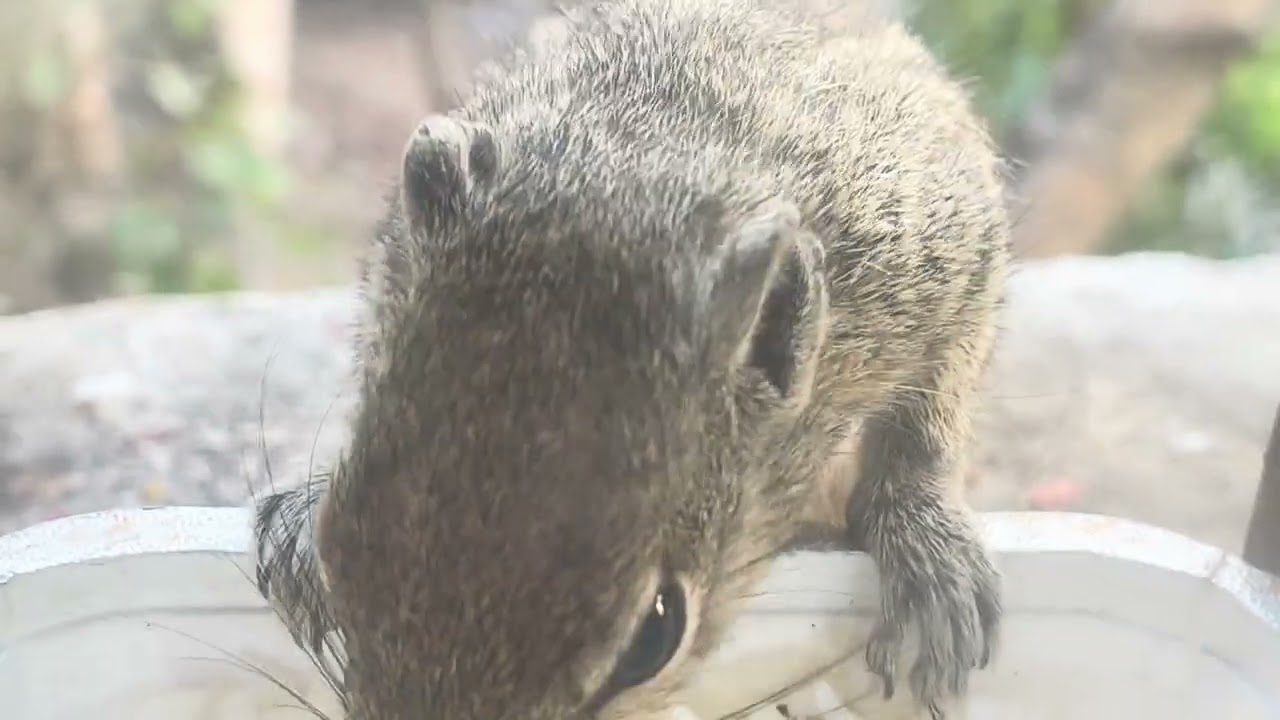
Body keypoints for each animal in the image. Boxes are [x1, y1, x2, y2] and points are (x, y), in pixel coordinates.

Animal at [254, 0, 1010, 717]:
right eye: (340, 544)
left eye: (656, 637)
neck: (643, 174)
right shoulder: (395, 261)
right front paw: (300, 520)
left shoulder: (931, 248)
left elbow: (932, 411)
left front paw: (923, 545)